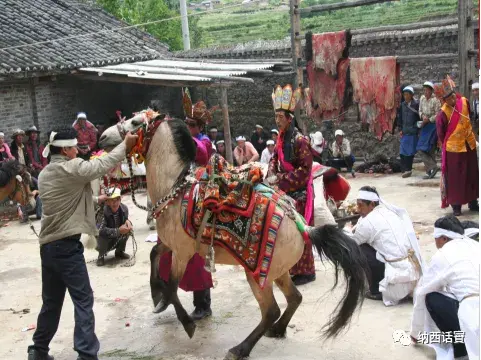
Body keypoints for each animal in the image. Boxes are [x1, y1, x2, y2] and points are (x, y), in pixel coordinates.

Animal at [98, 115, 368, 360]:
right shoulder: (170, 243)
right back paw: (277, 330)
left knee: (271, 310)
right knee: (294, 298)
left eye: (135, 122)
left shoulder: (183, 252)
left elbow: (173, 287)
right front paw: (157, 298)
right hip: (278, 272)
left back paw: (240, 348)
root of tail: (303, 227)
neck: (174, 187)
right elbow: (155, 257)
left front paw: (187, 323)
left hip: (257, 275)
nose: (102, 137)